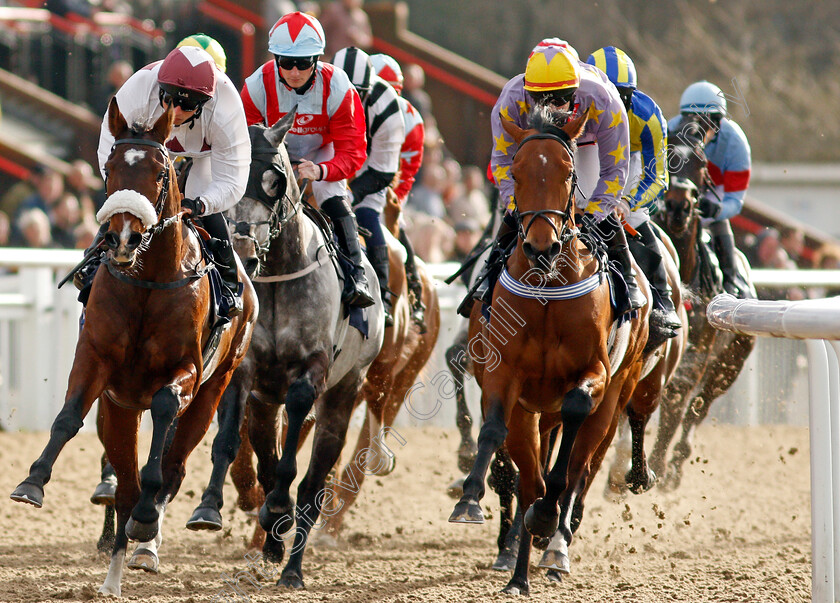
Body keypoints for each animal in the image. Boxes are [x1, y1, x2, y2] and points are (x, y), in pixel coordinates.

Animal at [8, 99, 256, 600]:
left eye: (161, 173)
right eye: (109, 167)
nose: (121, 238)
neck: (148, 279)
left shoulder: (185, 371)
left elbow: (163, 414)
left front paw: (147, 518)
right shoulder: (96, 359)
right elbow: (67, 417)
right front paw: (32, 481)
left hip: (215, 387)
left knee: (172, 467)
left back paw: (146, 537)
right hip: (119, 410)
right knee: (123, 483)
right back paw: (113, 574)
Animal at [186, 112, 384, 588]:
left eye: (274, 181)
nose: (242, 252)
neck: (276, 275)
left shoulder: (310, 370)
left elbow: (292, 462)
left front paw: (278, 505)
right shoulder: (246, 371)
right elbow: (227, 441)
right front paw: (208, 507)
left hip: (343, 394)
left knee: (312, 485)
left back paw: (292, 566)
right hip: (265, 401)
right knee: (267, 455)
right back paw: (273, 543)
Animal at [450, 107, 652, 596]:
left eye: (567, 172)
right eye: (516, 172)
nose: (541, 246)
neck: (547, 288)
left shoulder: (593, 374)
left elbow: (565, 456)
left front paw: (546, 519)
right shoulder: (503, 375)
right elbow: (493, 433)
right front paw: (469, 498)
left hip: (615, 394)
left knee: (579, 469)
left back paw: (555, 546)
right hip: (533, 413)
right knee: (530, 476)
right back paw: (518, 574)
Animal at [648, 117, 756, 490]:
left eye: (701, 163)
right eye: (666, 158)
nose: (679, 205)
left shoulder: (694, 361)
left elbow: (675, 405)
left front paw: (657, 467)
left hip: (729, 366)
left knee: (698, 407)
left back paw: (675, 466)